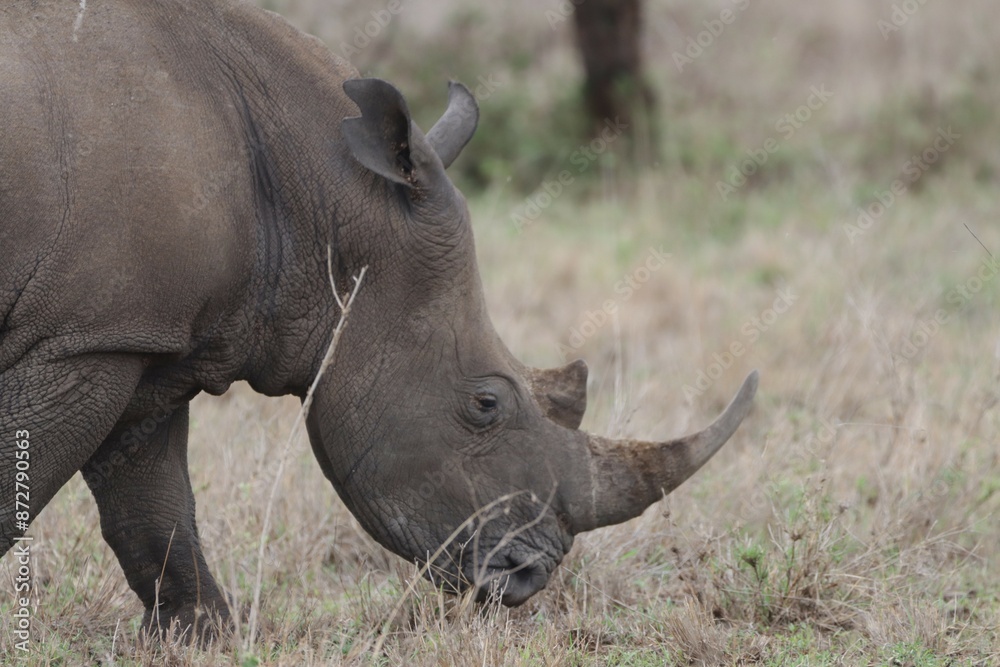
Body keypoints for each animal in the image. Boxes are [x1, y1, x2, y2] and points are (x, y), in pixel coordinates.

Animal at [0, 0, 757, 637]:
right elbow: (28, 480)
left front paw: (199, 635)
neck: (323, 199)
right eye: (485, 403)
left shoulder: (141, 339)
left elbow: (153, 509)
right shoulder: (85, 342)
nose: (527, 577)